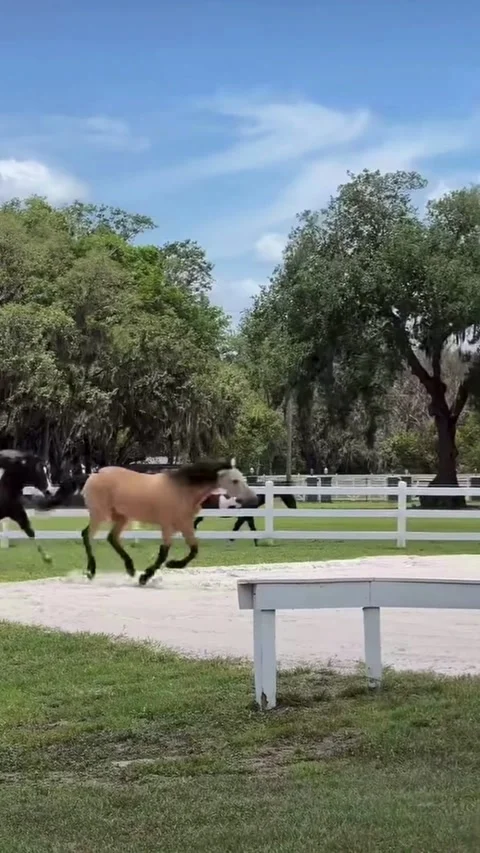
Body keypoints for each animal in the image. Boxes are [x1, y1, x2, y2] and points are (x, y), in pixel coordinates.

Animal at [35, 458, 258, 585]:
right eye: (235, 481)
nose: (254, 499)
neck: (182, 490)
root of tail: (92, 474)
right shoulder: (168, 526)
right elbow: (163, 553)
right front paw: (147, 576)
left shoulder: (185, 525)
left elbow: (194, 550)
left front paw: (173, 565)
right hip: (100, 514)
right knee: (86, 535)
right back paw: (91, 571)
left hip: (121, 517)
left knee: (112, 538)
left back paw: (130, 569)